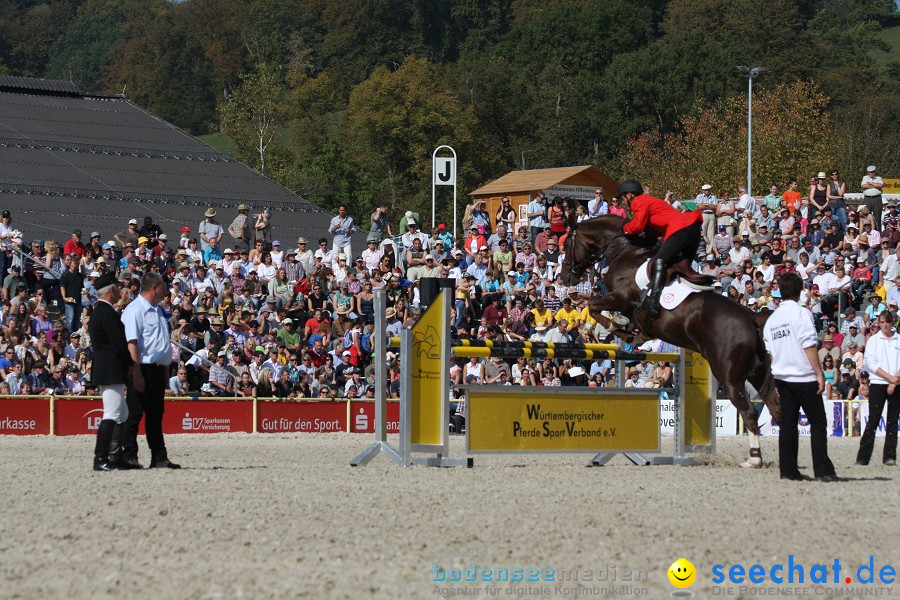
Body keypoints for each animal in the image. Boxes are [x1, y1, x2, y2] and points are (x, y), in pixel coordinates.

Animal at [564, 211, 780, 468]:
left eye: (566, 245)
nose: (564, 277)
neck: (626, 250)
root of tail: (751, 318)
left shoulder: (620, 297)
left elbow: (593, 307)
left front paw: (619, 327)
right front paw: (632, 333)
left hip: (729, 376)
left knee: (749, 412)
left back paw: (754, 459)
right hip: (756, 372)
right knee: (776, 407)